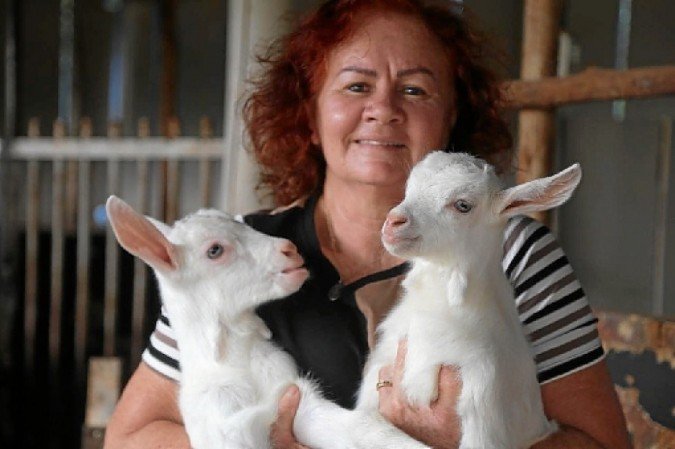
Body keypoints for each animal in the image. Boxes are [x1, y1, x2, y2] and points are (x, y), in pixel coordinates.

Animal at [106, 196, 430, 449]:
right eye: (215, 250)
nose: (289, 250)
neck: (237, 364)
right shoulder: (224, 426)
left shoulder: (294, 397)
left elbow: (365, 429)